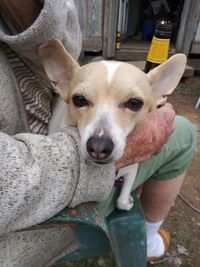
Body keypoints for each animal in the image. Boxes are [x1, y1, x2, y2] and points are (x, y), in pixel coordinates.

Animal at [38, 38, 186, 211]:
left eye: (134, 103)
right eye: (79, 99)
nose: (98, 146)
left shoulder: (132, 168)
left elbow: (122, 198)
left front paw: (125, 199)